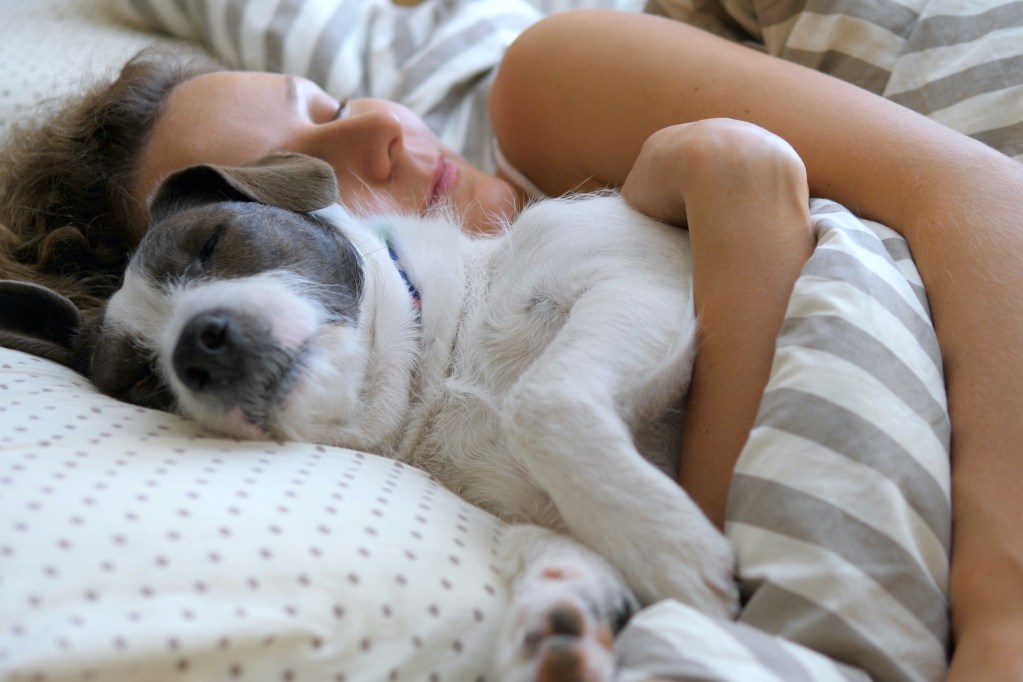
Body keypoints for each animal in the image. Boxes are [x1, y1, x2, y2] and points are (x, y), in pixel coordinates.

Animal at [0, 152, 740, 678]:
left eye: (211, 242)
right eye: (142, 379)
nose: (194, 349)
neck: (440, 370)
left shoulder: (640, 281)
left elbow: (540, 400)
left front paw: (668, 548)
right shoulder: (526, 507)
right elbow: (545, 542)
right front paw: (559, 619)